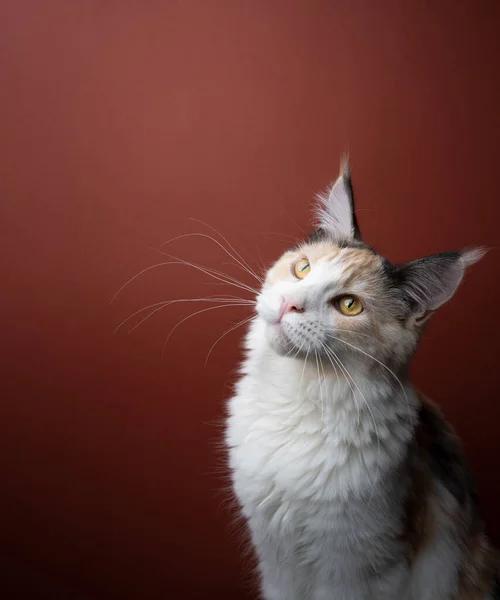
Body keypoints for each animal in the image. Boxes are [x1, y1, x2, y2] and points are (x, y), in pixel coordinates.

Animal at [226, 159, 496, 600]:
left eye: (349, 305)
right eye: (303, 268)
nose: (289, 304)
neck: (297, 396)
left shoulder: (356, 566)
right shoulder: (276, 559)